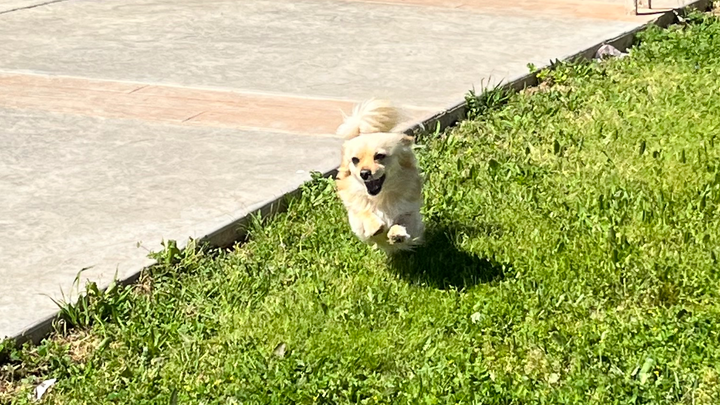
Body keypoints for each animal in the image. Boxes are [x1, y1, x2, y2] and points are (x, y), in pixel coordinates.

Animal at [335, 99, 424, 253]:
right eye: (355, 160)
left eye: (379, 156)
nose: (364, 173)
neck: (380, 198)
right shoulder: (357, 221)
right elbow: (364, 212)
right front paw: (374, 226)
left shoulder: (411, 216)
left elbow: (403, 223)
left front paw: (397, 233)